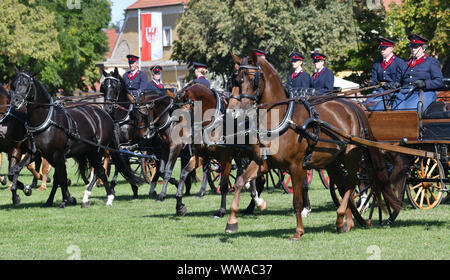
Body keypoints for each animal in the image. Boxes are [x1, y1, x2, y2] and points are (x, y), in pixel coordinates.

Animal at [9, 71, 143, 207]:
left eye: (26, 84)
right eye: (13, 85)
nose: (15, 101)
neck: (46, 119)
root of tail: (106, 115)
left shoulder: (58, 155)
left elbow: (61, 178)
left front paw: (66, 200)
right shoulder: (35, 153)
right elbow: (15, 170)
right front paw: (19, 192)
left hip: (96, 151)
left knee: (101, 170)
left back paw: (108, 197)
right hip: (89, 151)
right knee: (98, 170)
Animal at [225, 51, 400, 240]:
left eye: (251, 79)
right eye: (235, 80)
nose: (232, 111)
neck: (281, 119)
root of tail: (353, 105)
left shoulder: (295, 166)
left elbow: (297, 200)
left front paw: (298, 231)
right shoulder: (262, 163)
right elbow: (240, 181)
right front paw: (232, 222)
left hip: (351, 158)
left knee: (352, 183)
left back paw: (343, 216)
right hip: (332, 162)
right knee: (343, 185)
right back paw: (345, 222)